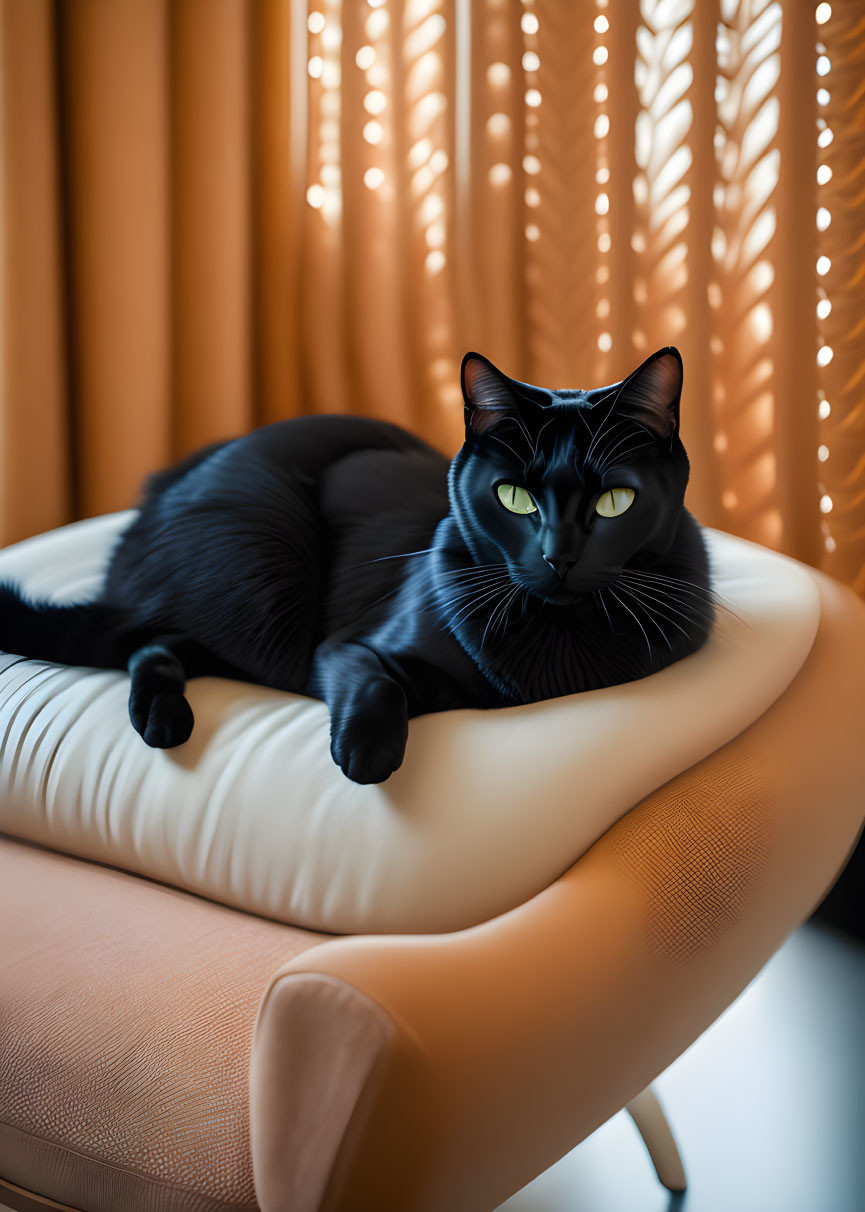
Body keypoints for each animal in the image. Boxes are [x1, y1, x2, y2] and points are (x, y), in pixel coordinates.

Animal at [0, 351, 712, 785]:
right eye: (514, 497)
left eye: (614, 501)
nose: (557, 556)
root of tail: (150, 500)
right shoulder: (351, 647)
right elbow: (374, 679)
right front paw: (367, 753)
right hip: (267, 588)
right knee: (147, 637)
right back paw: (164, 721)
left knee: (153, 639)